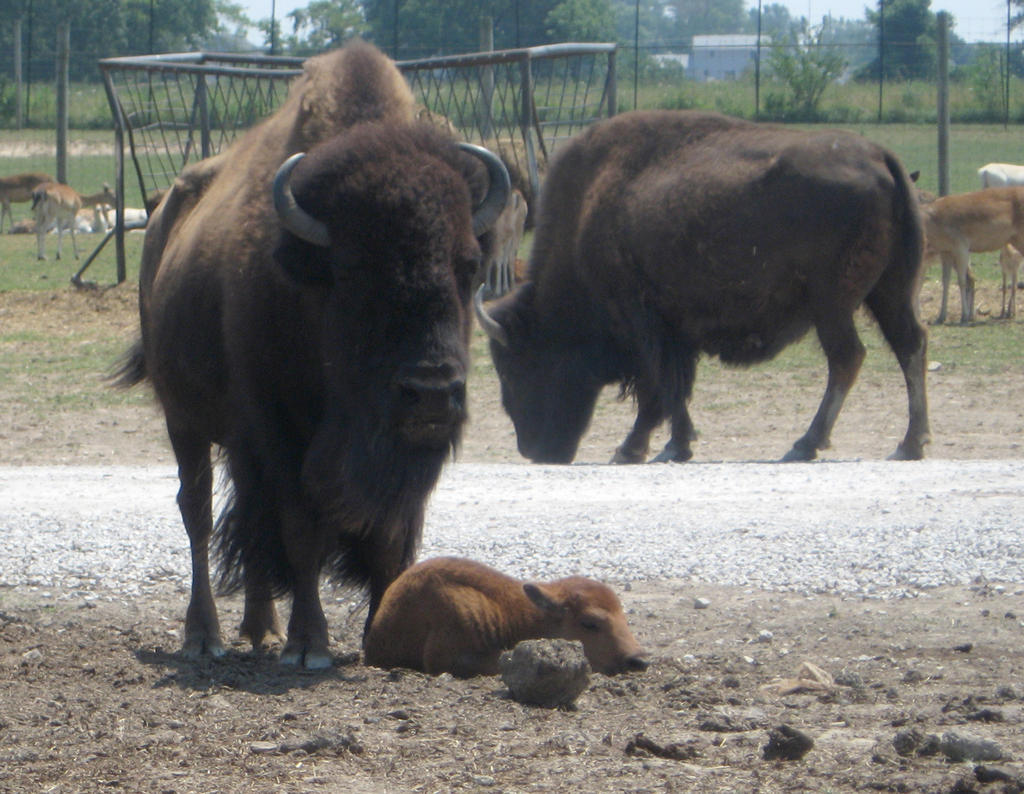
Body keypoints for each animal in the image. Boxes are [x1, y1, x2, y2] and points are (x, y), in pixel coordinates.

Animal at [117, 40, 509, 667]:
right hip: (185, 421)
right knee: (197, 512)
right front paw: (308, 645)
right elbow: (302, 528)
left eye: (469, 264)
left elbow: (391, 534)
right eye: (351, 270)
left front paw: (381, 633)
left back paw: (261, 628)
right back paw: (206, 637)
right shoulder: (282, 429)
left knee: (245, 518)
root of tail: (159, 224)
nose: (430, 393)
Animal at [475, 108, 933, 463]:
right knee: (909, 344)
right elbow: (673, 388)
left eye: (515, 368)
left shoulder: (644, 321)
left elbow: (659, 387)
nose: (535, 451)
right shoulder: (674, 329)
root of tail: (881, 158)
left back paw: (806, 444)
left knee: (847, 357)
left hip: (832, 305)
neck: (589, 207)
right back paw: (909, 444)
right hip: (888, 292)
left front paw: (640, 448)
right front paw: (670, 445)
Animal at [917, 186, 1024, 323]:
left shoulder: (961, 246)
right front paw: (940, 317)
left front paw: (964, 316)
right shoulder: (945, 251)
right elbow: (945, 281)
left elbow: (962, 281)